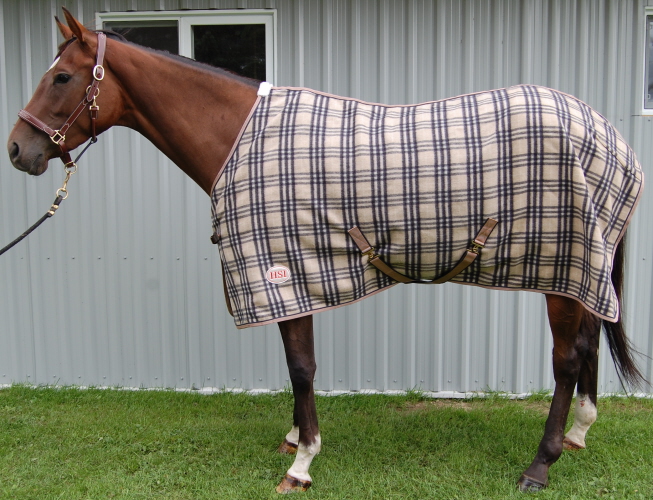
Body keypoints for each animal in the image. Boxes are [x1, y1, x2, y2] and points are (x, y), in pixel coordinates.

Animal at [6, 9, 645, 493]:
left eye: (62, 77)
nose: (18, 149)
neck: (241, 139)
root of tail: (612, 137)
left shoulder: (282, 272)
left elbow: (301, 368)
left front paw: (301, 462)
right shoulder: (291, 277)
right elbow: (296, 366)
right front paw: (294, 439)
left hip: (562, 270)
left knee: (565, 362)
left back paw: (540, 464)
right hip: (581, 272)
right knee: (587, 346)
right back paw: (579, 434)